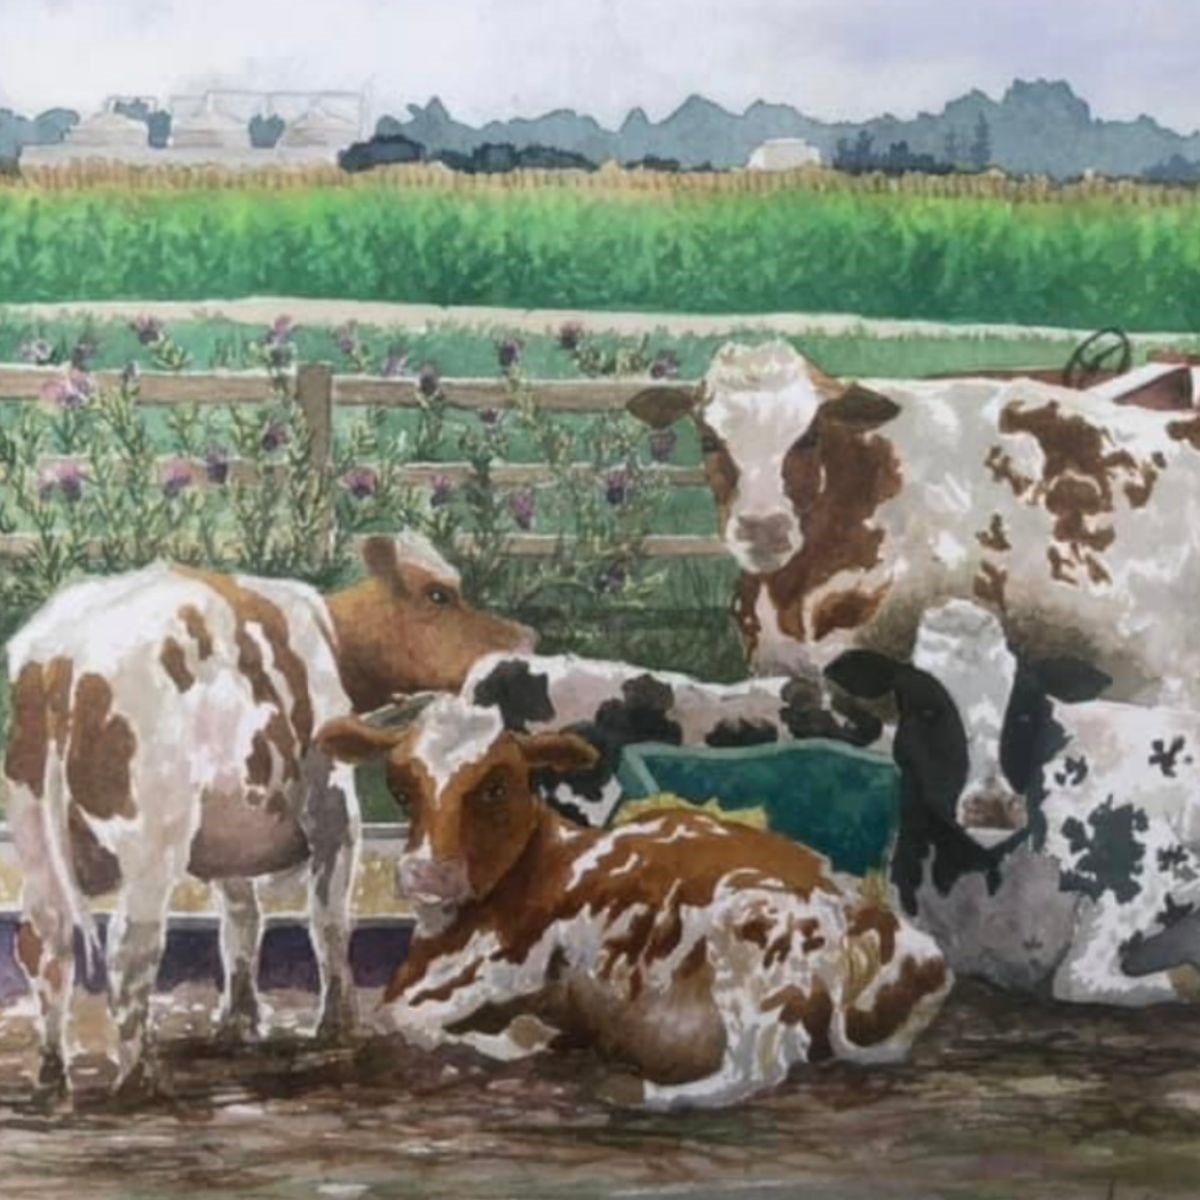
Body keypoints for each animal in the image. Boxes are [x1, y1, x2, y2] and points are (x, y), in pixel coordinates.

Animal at [3, 533, 533, 1099]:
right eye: (439, 595)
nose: (526, 640)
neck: (332, 642)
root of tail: (59, 655)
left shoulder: (230, 831)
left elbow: (241, 921)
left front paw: (239, 1022)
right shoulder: (333, 810)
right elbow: (328, 922)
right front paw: (337, 1025)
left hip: (33, 837)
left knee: (45, 943)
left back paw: (51, 1073)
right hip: (152, 844)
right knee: (131, 947)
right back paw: (137, 1078)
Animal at [316, 696, 951, 1109]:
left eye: (495, 786)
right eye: (401, 788)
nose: (425, 872)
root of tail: (860, 910)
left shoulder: (508, 970)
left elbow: (403, 1020)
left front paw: (525, 1038)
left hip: (747, 939)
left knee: (752, 1071)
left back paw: (634, 1087)